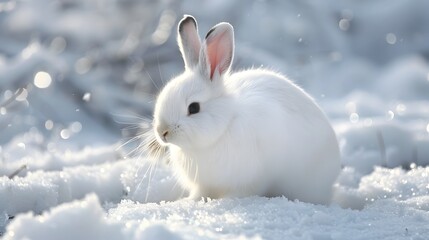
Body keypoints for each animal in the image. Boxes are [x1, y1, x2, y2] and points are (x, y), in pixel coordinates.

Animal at [152, 15, 340, 204]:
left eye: (194, 108)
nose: (163, 132)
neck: (225, 125)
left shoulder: (250, 180)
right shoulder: (204, 184)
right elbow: (200, 193)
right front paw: (187, 201)